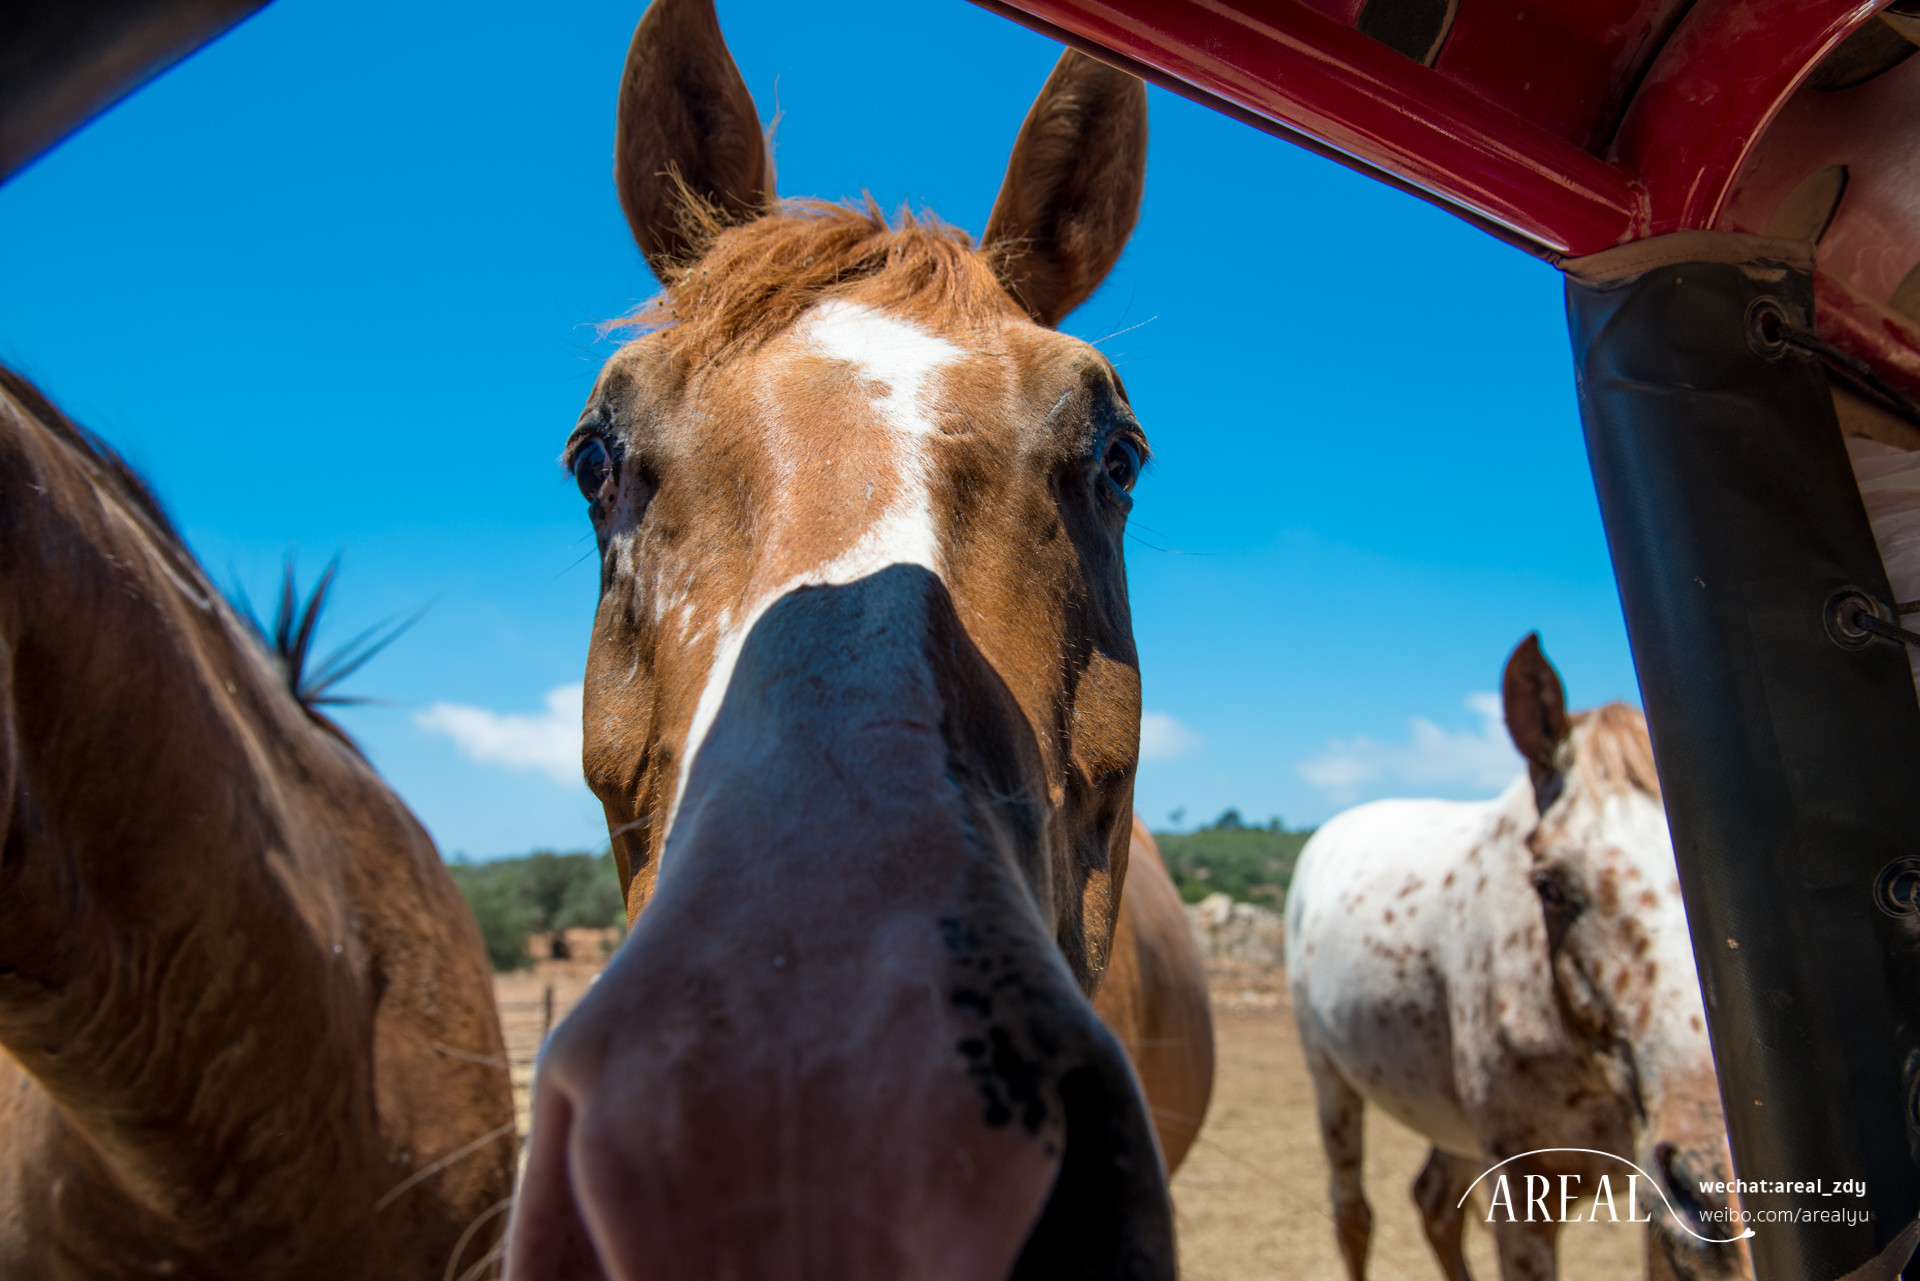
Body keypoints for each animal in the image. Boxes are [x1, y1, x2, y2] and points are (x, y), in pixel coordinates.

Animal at [1282, 637, 1751, 1281]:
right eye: (1548, 886)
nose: (1712, 1181)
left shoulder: (1652, 1214)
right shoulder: (1522, 1192)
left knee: (1435, 1203)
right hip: (1331, 1085)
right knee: (1353, 1217)